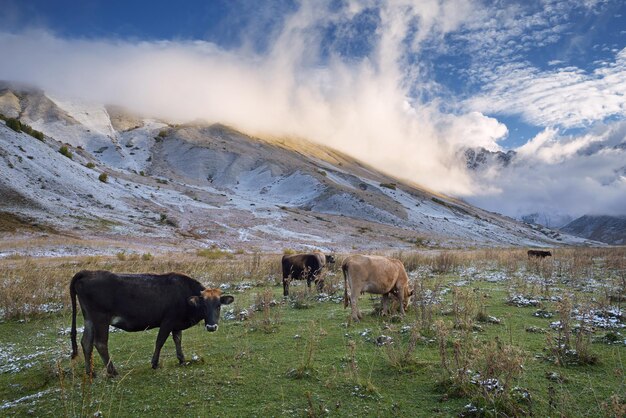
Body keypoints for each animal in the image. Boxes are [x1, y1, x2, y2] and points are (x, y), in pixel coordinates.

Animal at [69, 270, 234, 378]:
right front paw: (154, 363)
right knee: (100, 343)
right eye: (204, 306)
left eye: (218, 305)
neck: (184, 295)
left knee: (86, 342)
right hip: (100, 318)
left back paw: (90, 372)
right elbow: (160, 341)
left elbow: (178, 340)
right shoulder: (167, 321)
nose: (212, 327)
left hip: (89, 318)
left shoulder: (176, 324)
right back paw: (112, 371)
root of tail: (88, 272)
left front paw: (182, 360)